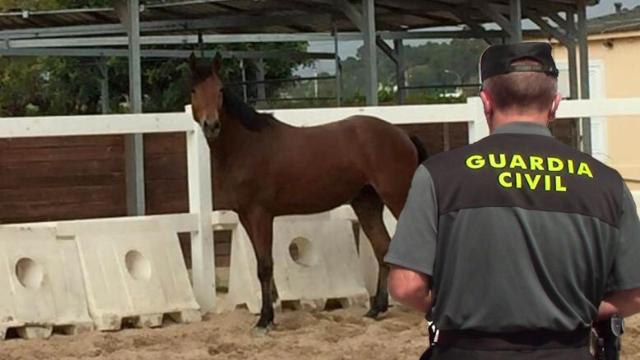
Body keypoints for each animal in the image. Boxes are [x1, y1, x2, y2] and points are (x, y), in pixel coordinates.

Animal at [188, 54, 428, 332]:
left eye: (220, 90)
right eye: (194, 90)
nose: (212, 125)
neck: (247, 145)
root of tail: (403, 135)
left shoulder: (261, 215)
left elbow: (265, 266)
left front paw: (265, 319)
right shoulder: (246, 216)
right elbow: (261, 265)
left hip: (398, 198)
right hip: (366, 204)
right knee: (383, 249)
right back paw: (376, 309)